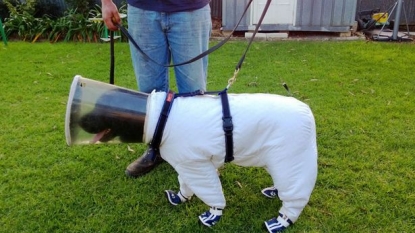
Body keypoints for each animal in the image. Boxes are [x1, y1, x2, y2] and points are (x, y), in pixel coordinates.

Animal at [79, 88, 318, 232]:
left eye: (101, 108)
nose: (79, 120)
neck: (162, 116)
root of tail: (307, 111)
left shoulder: (197, 166)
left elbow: (213, 196)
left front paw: (213, 215)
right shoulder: (186, 165)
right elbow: (185, 185)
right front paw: (180, 197)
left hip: (290, 160)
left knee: (295, 197)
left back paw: (282, 220)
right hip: (278, 159)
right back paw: (274, 191)